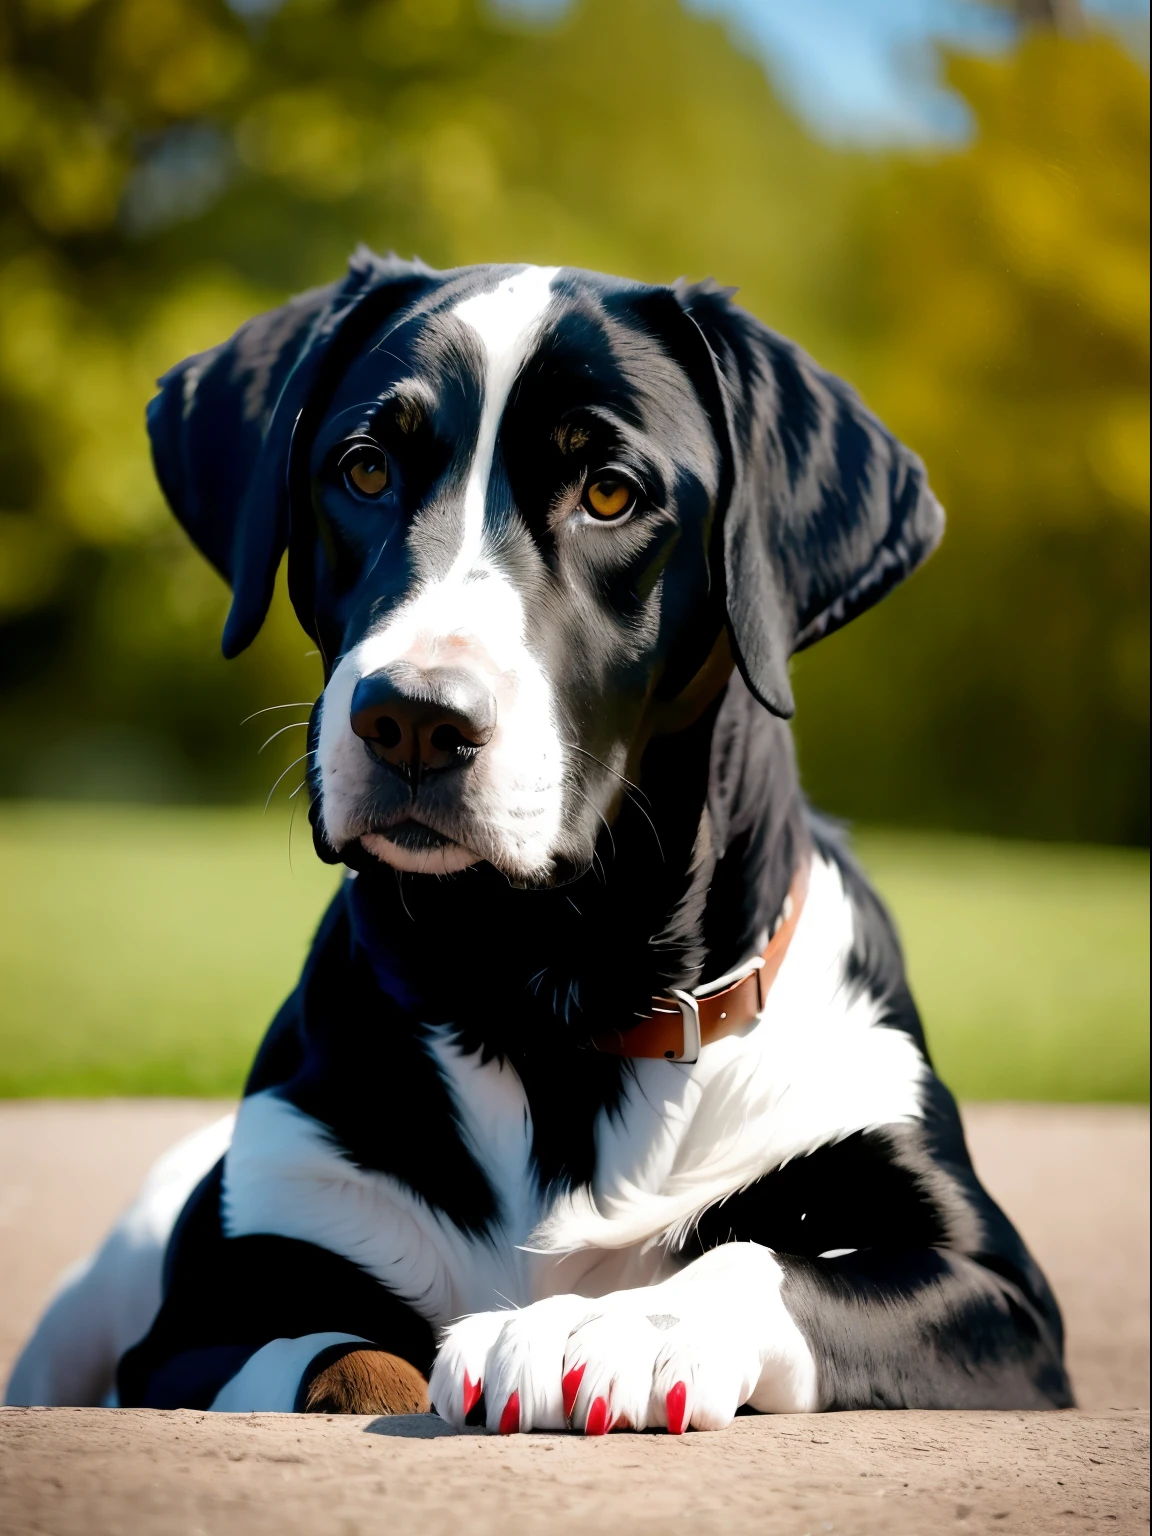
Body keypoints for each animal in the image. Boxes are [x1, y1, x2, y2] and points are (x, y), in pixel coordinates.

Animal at [6, 254, 1075, 1425]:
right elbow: (340, 1355)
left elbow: (762, 1261)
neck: (543, 994)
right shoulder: (195, 1326)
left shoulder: (1001, 1298)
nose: (414, 718)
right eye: (365, 469)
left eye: (610, 492)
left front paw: (615, 1324)